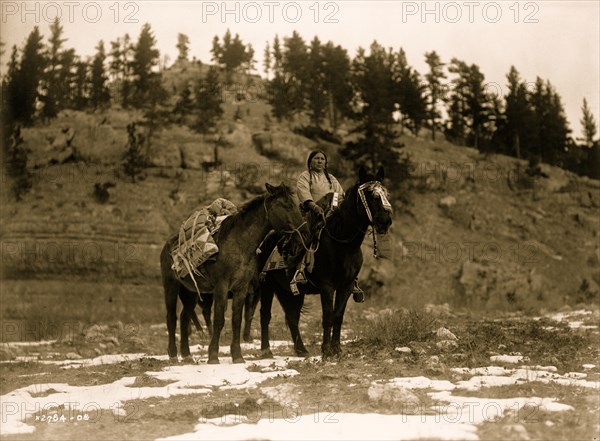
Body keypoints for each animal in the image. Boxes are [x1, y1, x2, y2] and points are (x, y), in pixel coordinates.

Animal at [161, 184, 304, 362]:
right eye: (286, 205)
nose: (304, 231)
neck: (239, 244)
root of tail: (168, 245)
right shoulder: (221, 287)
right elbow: (219, 319)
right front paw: (213, 356)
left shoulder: (241, 289)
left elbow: (237, 319)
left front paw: (237, 355)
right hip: (171, 286)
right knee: (171, 318)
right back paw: (173, 354)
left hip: (191, 291)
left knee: (184, 318)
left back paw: (187, 355)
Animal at [258, 167, 394, 360]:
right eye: (372, 195)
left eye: (386, 194)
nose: (385, 221)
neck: (342, 243)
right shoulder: (327, 285)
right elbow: (328, 316)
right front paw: (326, 350)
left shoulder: (346, 285)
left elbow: (338, 316)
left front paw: (337, 349)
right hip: (266, 285)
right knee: (265, 315)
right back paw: (266, 351)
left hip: (291, 291)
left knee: (292, 317)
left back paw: (301, 350)